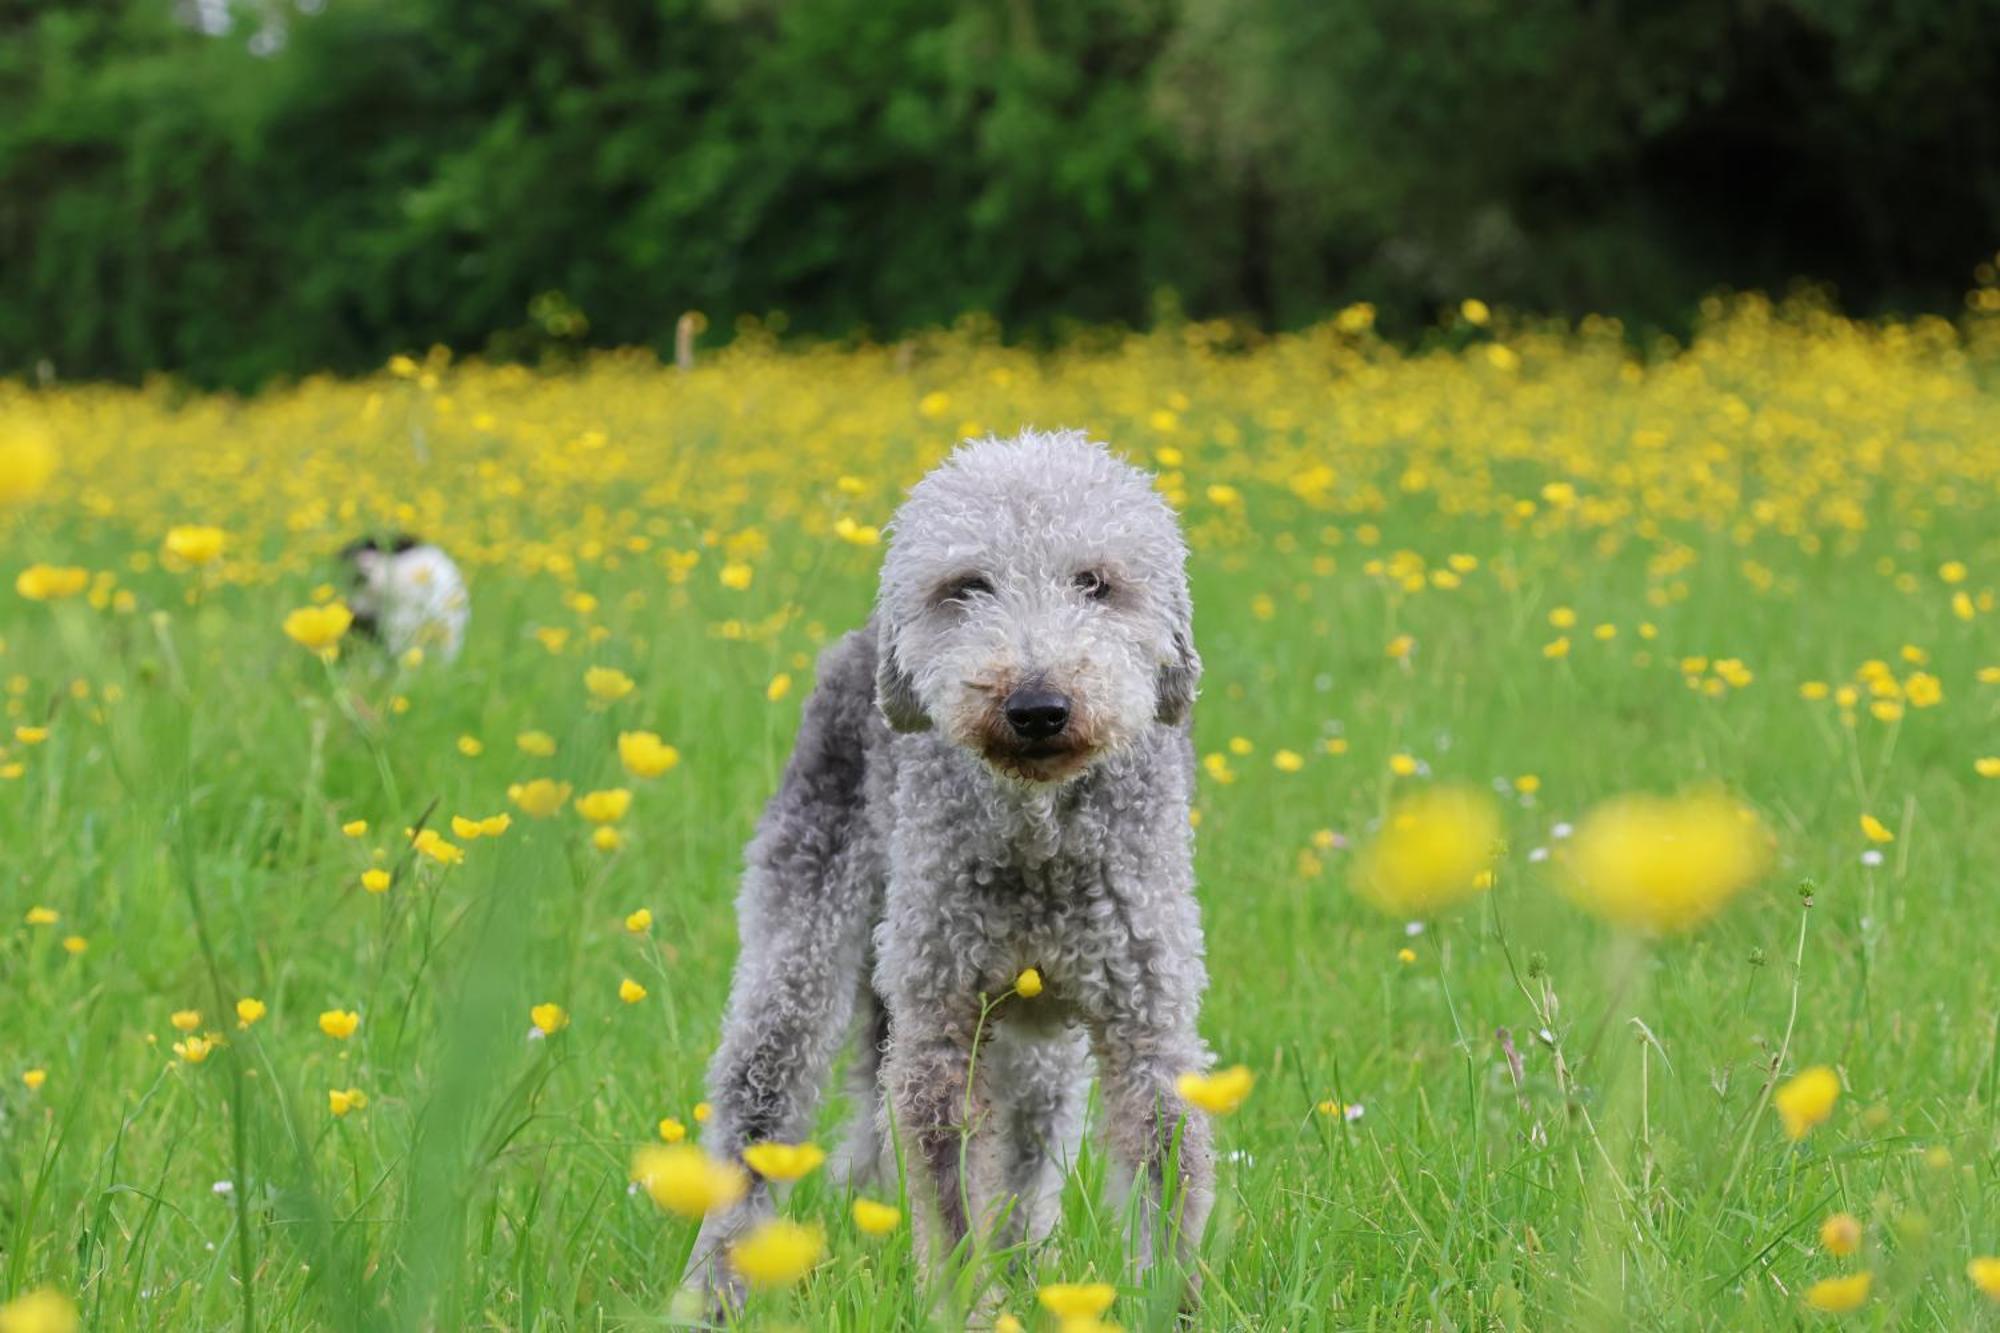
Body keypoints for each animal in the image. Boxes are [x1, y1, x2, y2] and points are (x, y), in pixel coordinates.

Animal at [688, 428, 1208, 1304]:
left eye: (1096, 582)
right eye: (968, 586)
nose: (1038, 707)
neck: (1038, 838)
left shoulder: (1147, 1020)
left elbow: (1166, 1170)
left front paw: (1167, 1304)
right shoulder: (939, 1024)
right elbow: (950, 1198)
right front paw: (972, 1307)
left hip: (1030, 1042)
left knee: (1023, 1153)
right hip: (805, 944)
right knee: (757, 1110)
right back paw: (715, 1287)